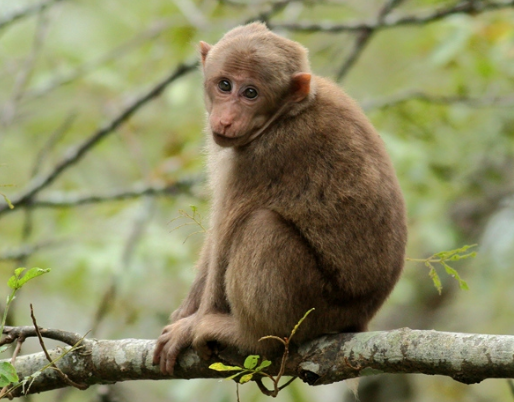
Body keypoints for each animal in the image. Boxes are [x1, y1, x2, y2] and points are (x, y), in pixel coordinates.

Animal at [151, 21, 404, 374]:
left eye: (251, 93)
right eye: (225, 85)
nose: (226, 118)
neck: (288, 113)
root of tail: (360, 316)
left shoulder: (268, 156)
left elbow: (228, 233)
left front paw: (190, 326)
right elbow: (216, 239)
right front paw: (184, 313)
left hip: (314, 310)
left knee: (261, 226)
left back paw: (247, 335)